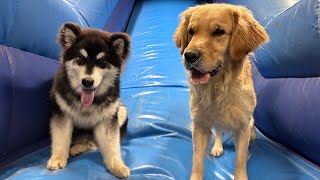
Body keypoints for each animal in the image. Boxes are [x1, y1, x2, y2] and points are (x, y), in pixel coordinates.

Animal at [46, 22, 130, 179]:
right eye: (80, 57)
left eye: (102, 61)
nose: (87, 82)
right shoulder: (62, 114)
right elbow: (61, 138)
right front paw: (57, 159)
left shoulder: (107, 119)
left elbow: (112, 145)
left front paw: (117, 165)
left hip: (121, 110)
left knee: (94, 142)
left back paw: (78, 148)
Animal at [174, 3, 268, 180]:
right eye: (191, 31)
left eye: (219, 32)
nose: (189, 55)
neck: (217, 87)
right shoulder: (199, 125)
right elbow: (197, 160)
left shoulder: (243, 126)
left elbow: (240, 160)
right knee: (218, 132)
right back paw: (217, 147)